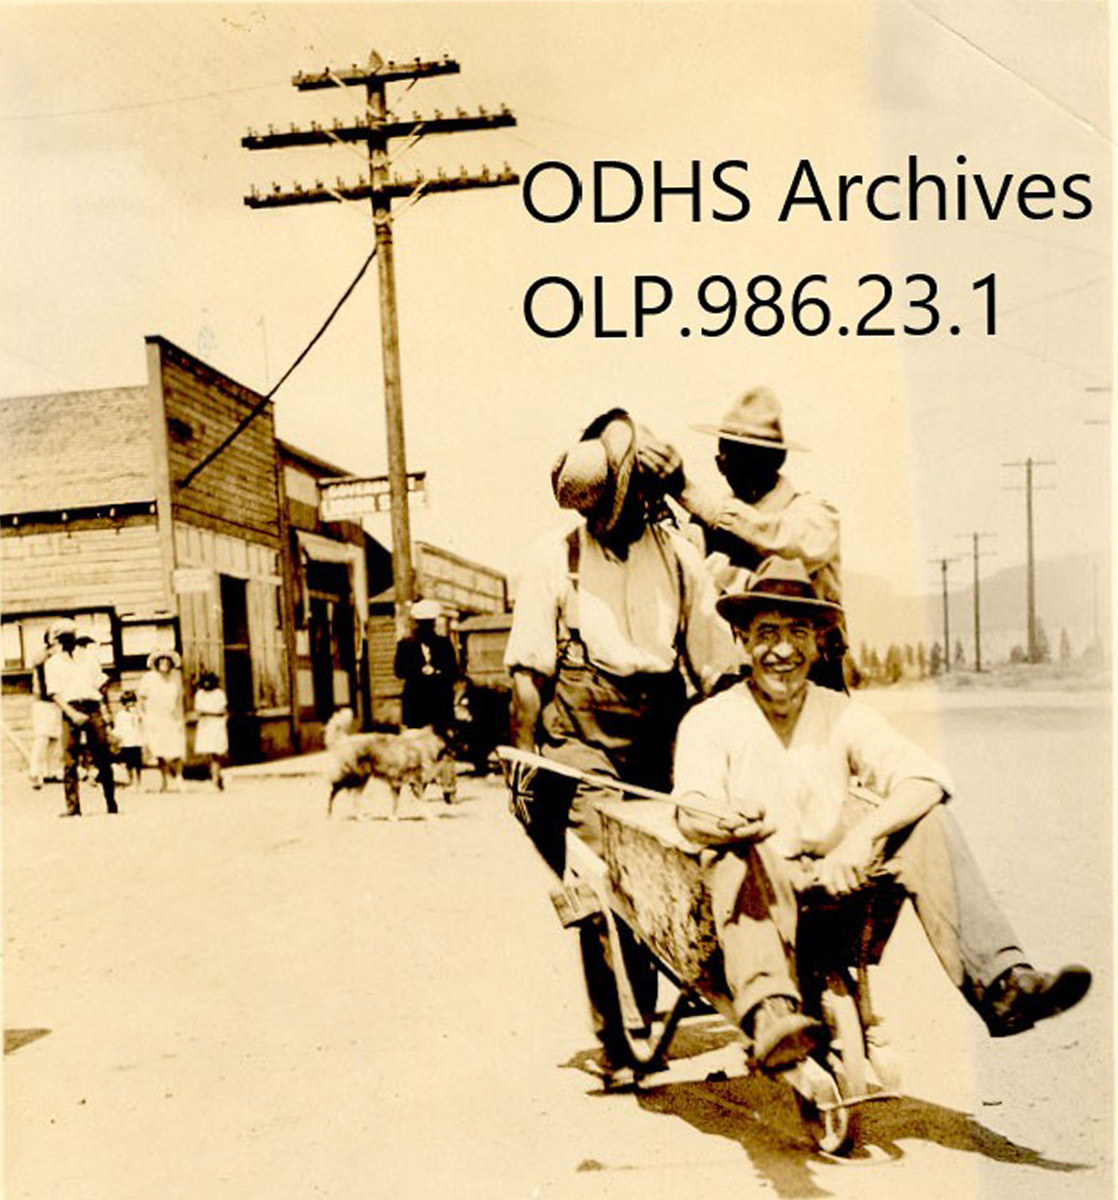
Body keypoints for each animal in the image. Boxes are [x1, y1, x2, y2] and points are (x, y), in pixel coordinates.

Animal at [326, 710, 455, 816]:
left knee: (355, 799)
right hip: (353, 778)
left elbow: (396, 804)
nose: (455, 754)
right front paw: (431, 818)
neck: (425, 744)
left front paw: (393, 818)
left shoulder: (397, 784)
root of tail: (345, 739)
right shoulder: (416, 782)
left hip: (362, 780)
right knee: (333, 792)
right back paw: (330, 815)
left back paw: (361, 818)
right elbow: (423, 802)